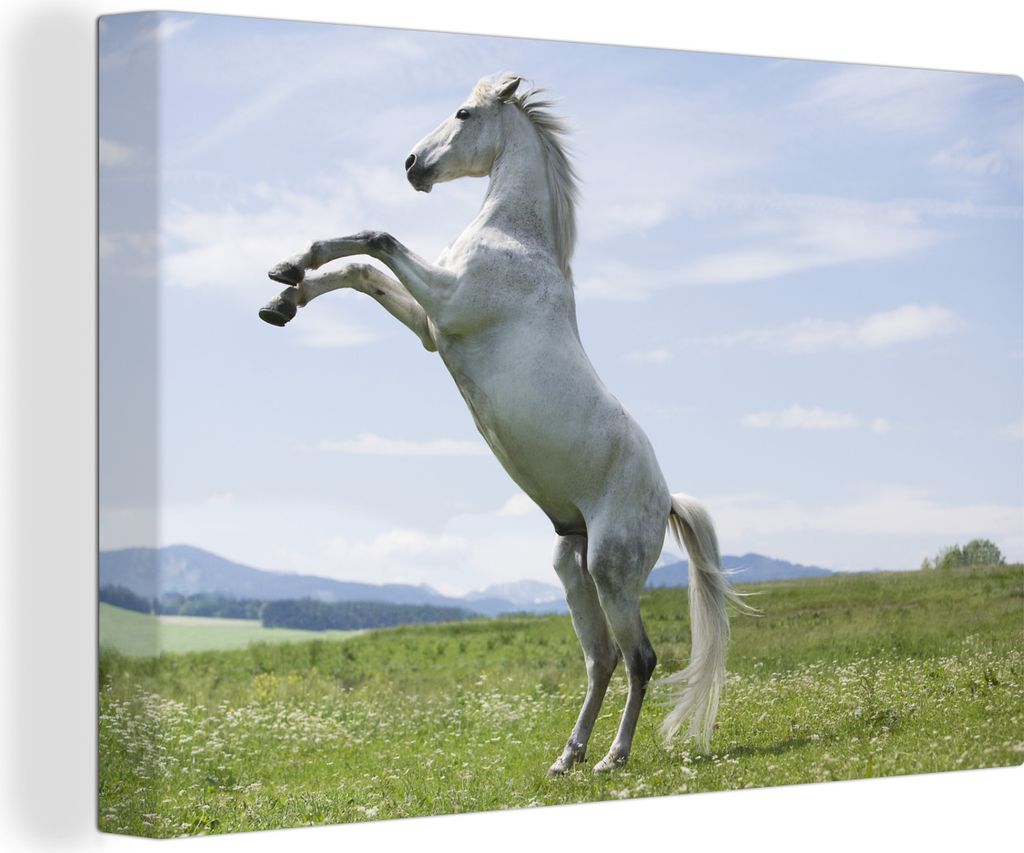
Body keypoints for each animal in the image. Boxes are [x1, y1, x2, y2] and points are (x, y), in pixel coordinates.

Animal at [259, 72, 754, 774]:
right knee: (601, 658)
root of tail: (666, 500)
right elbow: (361, 272)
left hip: (611, 571)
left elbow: (376, 241)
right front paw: (283, 291)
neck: (515, 239)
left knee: (641, 658)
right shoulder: (431, 326)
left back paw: (612, 757)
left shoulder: (446, 301)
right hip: (572, 566)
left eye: (464, 113)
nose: (412, 165)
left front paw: (289, 272)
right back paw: (567, 757)